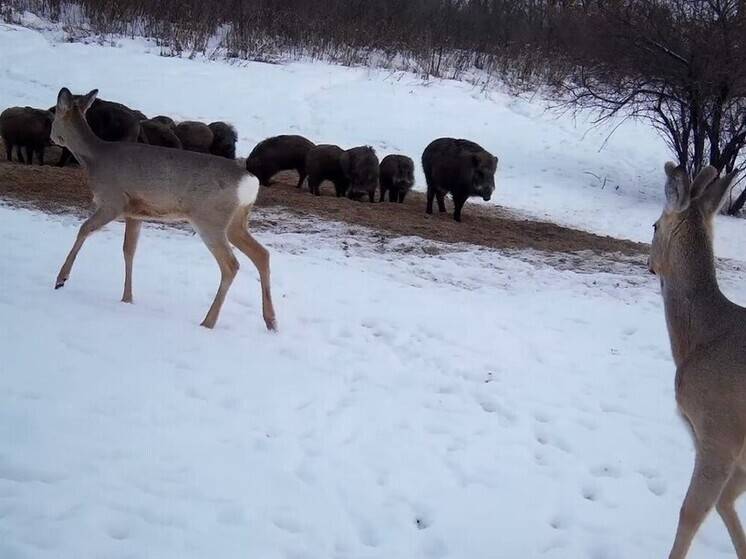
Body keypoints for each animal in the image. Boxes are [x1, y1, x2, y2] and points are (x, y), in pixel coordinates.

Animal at [51, 88, 276, 332]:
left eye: (53, 115)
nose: (52, 136)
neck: (95, 158)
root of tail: (250, 182)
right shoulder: (134, 212)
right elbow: (129, 250)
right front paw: (127, 298)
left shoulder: (113, 201)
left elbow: (84, 229)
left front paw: (61, 279)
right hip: (236, 222)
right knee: (262, 254)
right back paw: (271, 321)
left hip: (210, 219)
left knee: (231, 264)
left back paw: (208, 321)